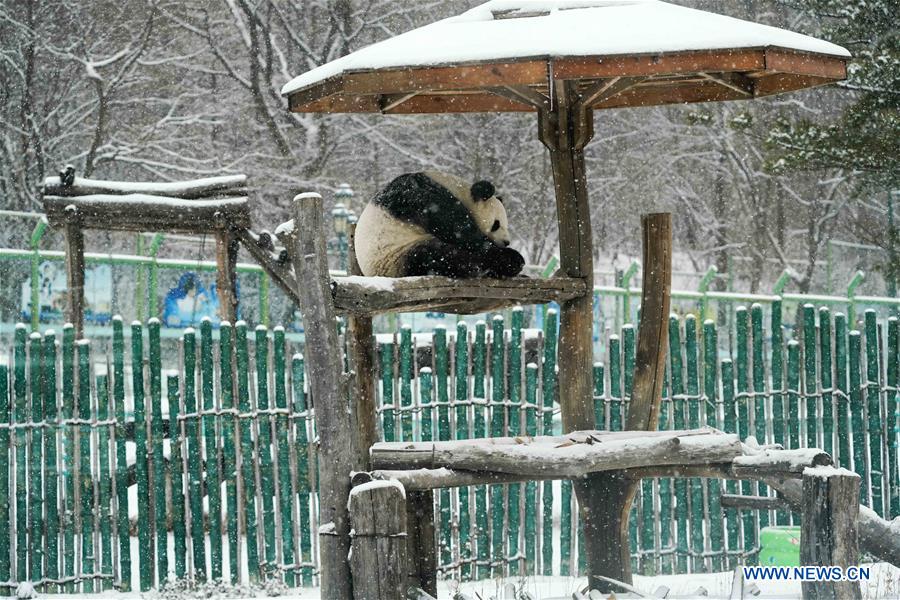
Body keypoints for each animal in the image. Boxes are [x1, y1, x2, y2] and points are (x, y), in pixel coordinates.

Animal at [354, 171, 525, 279]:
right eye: (496, 224)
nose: (506, 242)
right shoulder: (421, 197)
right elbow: (456, 228)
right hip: (396, 254)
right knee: (440, 257)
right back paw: (511, 261)